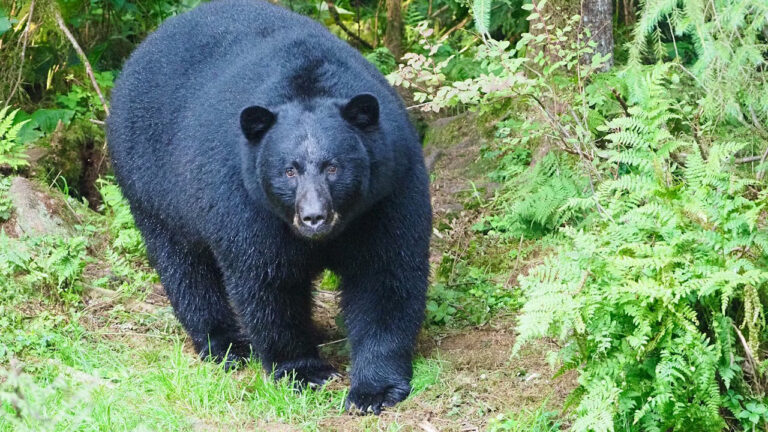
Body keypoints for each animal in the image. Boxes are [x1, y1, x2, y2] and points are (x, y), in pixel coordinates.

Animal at [106, 0, 431, 414]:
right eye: (289, 170)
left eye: (333, 167)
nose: (314, 217)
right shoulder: (245, 202)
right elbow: (268, 282)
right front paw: (303, 371)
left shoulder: (388, 192)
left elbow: (385, 274)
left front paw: (375, 389)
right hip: (152, 187)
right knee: (185, 268)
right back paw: (225, 345)